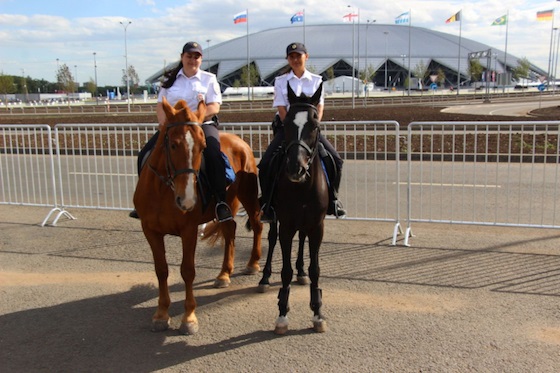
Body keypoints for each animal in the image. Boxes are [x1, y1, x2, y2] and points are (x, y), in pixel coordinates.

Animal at [133, 96, 262, 334]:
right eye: (173, 145)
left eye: (202, 148)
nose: (187, 200)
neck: (164, 190)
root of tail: (239, 141)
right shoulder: (150, 230)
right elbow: (161, 270)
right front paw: (161, 314)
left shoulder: (189, 230)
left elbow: (188, 271)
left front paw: (189, 318)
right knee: (230, 230)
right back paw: (224, 274)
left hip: (247, 195)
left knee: (257, 225)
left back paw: (252, 264)